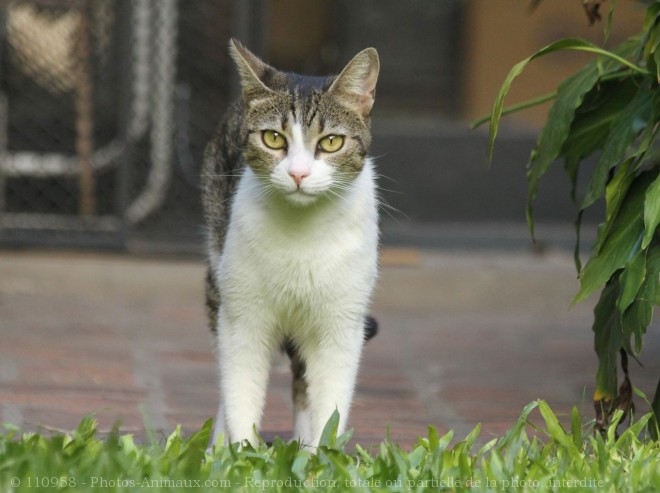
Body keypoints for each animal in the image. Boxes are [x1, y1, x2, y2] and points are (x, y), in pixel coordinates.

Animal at [201, 38, 378, 446]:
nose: (298, 173)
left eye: (331, 142)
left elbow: (330, 405)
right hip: (218, 277)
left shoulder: (341, 324)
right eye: (273, 139)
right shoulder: (243, 317)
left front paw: (320, 456)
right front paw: (240, 453)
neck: (302, 233)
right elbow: (240, 394)